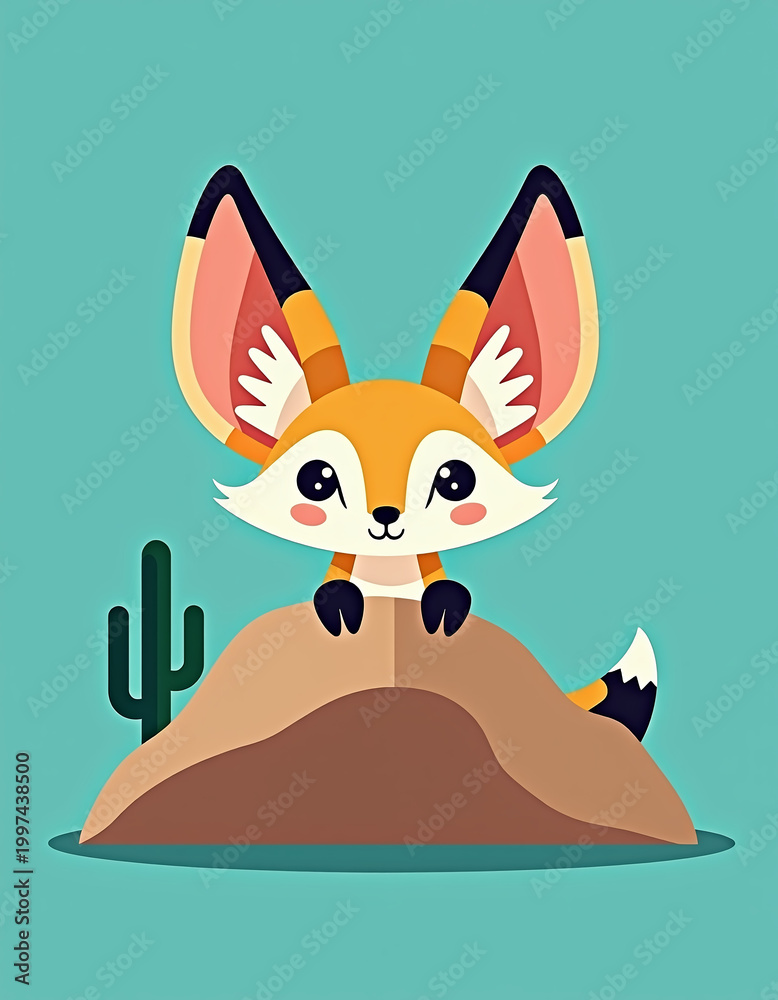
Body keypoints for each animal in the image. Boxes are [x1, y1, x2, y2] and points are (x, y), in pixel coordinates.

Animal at [172, 163, 657, 741]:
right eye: (317, 480)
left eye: (455, 480)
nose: (385, 518)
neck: (389, 577)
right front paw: (339, 606)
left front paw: (446, 605)